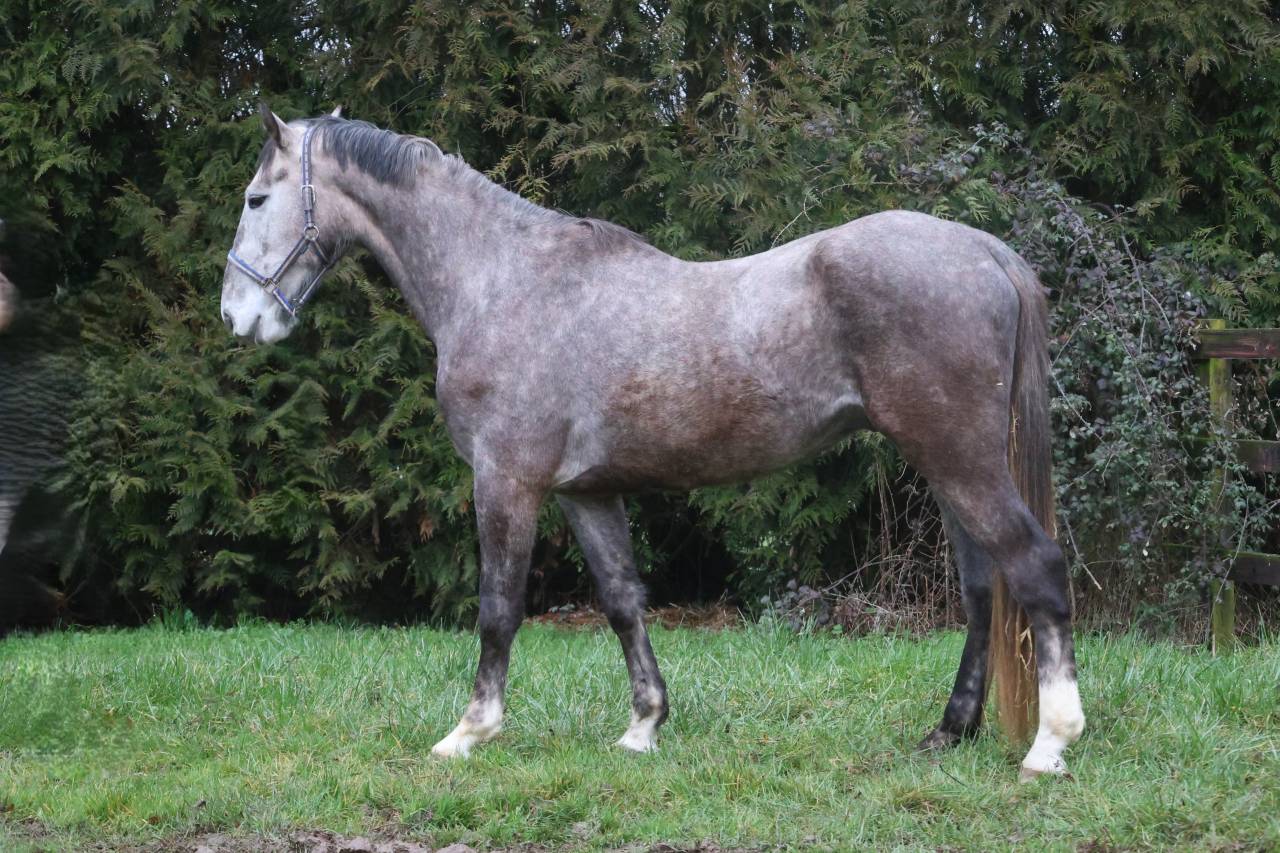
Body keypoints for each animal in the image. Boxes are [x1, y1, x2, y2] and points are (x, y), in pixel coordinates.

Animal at [220, 105, 1084, 781]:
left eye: (257, 197)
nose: (237, 317)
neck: (502, 279)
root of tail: (984, 250)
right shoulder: (586, 492)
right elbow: (623, 601)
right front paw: (643, 726)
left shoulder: (506, 482)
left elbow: (498, 607)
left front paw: (469, 731)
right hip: (946, 464)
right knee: (981, 587)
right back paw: (949, 730)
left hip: (959, 459)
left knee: (1035, 565)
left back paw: (1050, 742)